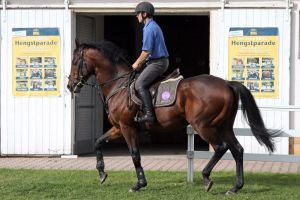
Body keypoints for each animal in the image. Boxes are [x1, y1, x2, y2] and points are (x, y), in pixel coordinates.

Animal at [67, 39, 278, 195]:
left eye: (74, 62)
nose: (70, 86)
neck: (118, 85)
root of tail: (226, 83)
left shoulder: (127, 127)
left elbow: (135, 155)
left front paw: (139, 184)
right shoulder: (119, 127)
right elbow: (98, 142)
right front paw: (102, 172)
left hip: (203, 125)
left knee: (221, 147)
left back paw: (206, 177)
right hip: (223, 126)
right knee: (237, 150)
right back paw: (235, 187)